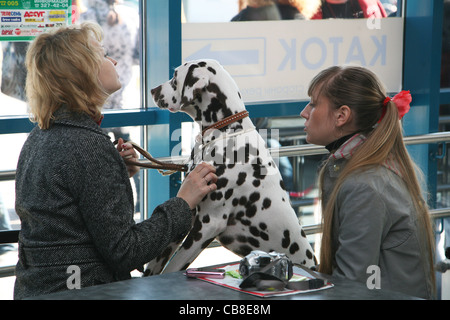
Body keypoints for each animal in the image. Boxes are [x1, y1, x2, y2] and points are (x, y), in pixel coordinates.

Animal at [146, 59, 314, 276]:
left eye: (175, 77)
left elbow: (173, 266)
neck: (227, 131)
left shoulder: (208, 224)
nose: (153, 90)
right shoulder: (187, 212)